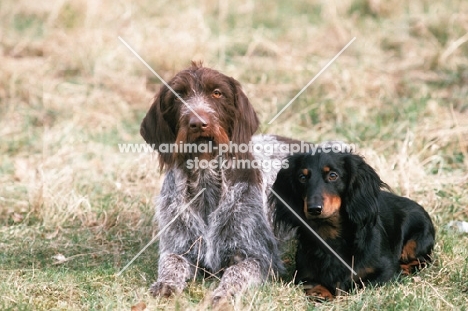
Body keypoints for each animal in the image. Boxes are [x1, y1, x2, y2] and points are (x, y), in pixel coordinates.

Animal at [140, 62, 292, 304]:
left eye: (217, 93)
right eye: (178, 95)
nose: (198, 123)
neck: (205, 179)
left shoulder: (259, 257)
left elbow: (236, 271)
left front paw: (224, 292)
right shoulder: (179, 247)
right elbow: (170, 262)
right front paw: (166, 284)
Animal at [268, 151, 436, 300]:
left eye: (333, 175)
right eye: (302, 177)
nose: (314, 209)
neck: (330, 235)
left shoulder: (385, 270)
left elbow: (364, 282)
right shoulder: (303, 274)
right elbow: (311, 283)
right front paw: (320, 293)